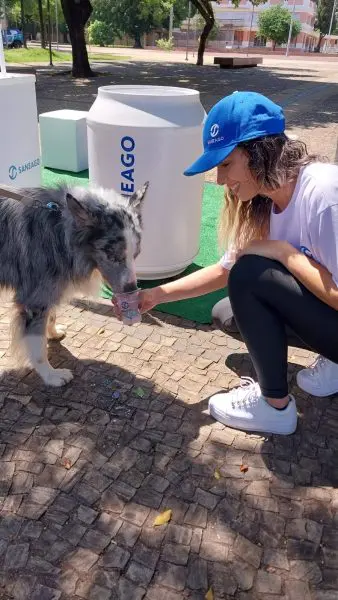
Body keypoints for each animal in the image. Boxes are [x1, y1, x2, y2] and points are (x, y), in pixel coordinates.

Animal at [0, 183, 148, 386]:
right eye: (112, 255)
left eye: (136, 254)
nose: (131, 290)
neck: (60, 231)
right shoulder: (35, 299)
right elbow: (37, 346)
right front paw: (51, 376)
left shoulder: (52, 288)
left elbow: (51, 315)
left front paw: (53, 333)